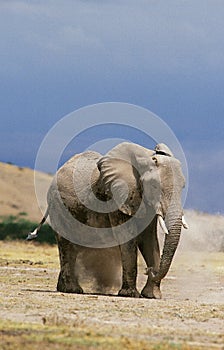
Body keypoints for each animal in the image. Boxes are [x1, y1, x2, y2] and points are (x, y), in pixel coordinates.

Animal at [27, 142, 188, 298]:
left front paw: (152, 296)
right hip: (59, 206)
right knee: (66, 243)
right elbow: (127, 237)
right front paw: (130, 294)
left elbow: (149, 239)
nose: (149, 270)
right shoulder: (117, 197)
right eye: (155, 186)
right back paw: (72, 289)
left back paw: (63, 287)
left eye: (183, 187)